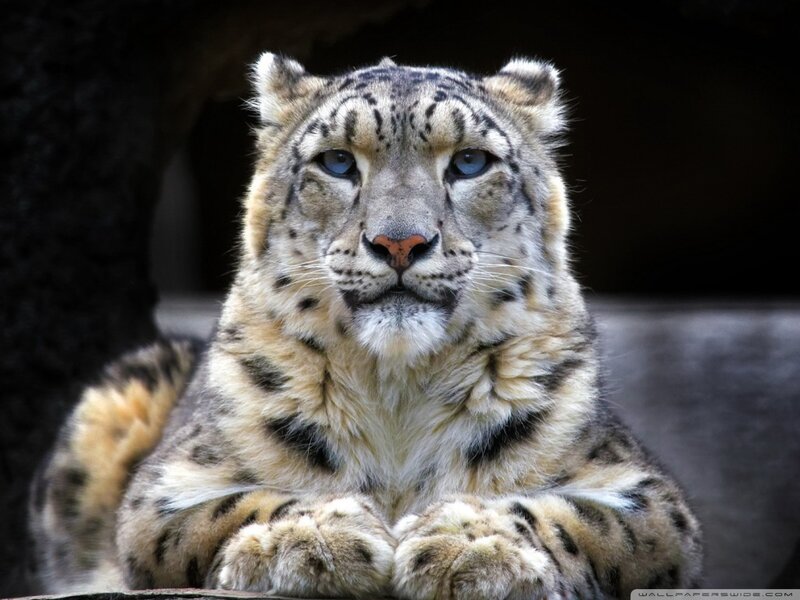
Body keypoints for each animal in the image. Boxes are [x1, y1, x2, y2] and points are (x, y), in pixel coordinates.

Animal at [29, 53, 703, 599]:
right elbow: (233, 506)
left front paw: (468, 542)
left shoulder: (645, 493)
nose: (399, 242)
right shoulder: (167, 487)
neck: (398, 392)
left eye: (469, 162)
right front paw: (315, 536)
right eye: (336, 162)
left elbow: (575, 514)